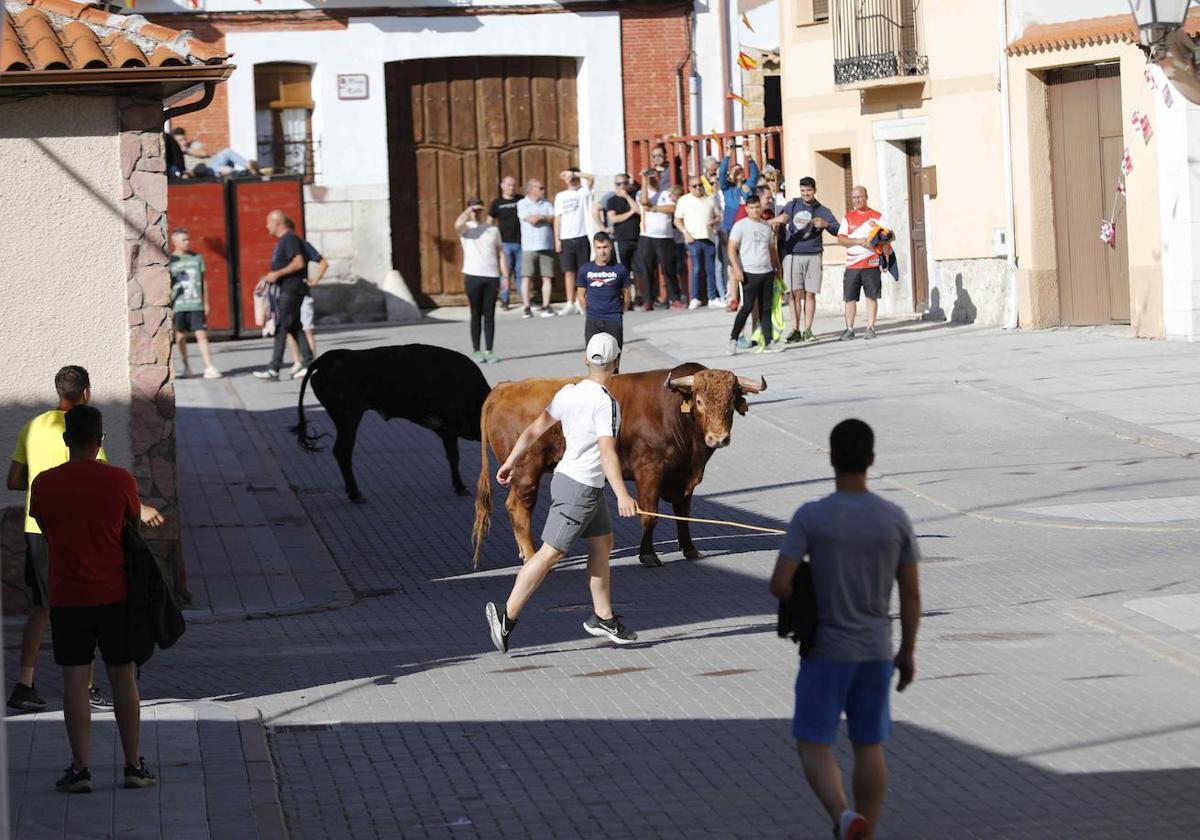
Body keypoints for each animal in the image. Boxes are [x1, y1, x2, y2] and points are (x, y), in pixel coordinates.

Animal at [290, 345, 492, 501]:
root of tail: (326, 359)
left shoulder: (448, 433)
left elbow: (453, 458)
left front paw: (459, 486)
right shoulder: (448, 430)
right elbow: (454, 458)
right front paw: (461, 487)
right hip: (348, 417)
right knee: (342, 451)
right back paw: (355, 494)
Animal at [472, 360, 763, 564]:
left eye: (730, 403)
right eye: (700, 401)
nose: (718, 438)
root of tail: (506, 387)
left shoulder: (683, 479)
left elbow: (683, 515)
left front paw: (690, 549)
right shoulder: (649, 471)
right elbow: (649, 515)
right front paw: (647, 555)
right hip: (526, 473)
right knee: (520, 509)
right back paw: (532, 555)